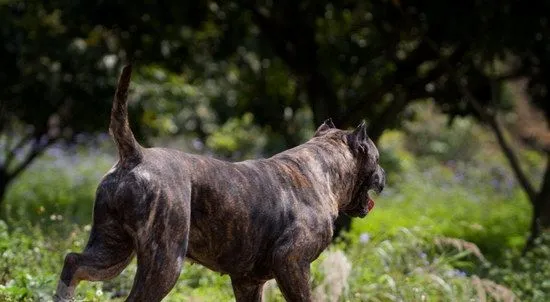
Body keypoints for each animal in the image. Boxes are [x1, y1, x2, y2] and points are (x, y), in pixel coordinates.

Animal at [54, 65, 386, 300]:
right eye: (377, 157)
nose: (383, 173)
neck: (322, 169)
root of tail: (135, 154)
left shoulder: (248, 282)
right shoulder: (293, 263)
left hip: (112, 249)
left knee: (74, 263)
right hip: (164, 261)